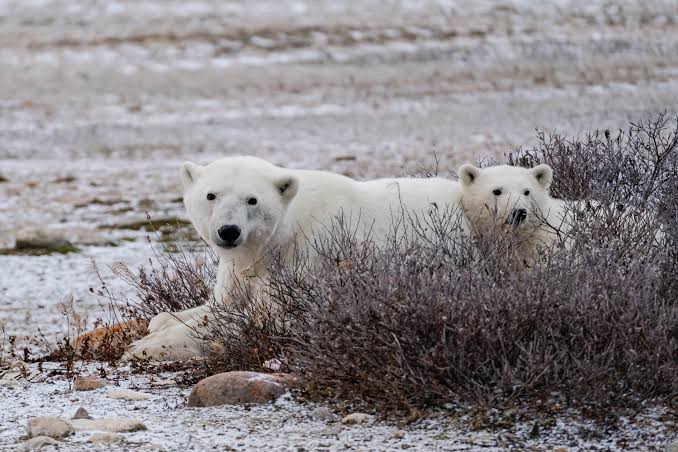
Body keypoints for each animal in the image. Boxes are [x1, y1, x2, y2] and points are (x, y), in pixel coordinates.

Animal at [123, 156, 462, 361]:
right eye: (210, 195)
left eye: (252, 200)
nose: (229, 231)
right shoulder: (238, 265)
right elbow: (220, 305)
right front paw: (161, 321)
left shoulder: (304, 259)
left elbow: (264, 318)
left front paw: (145, 345)